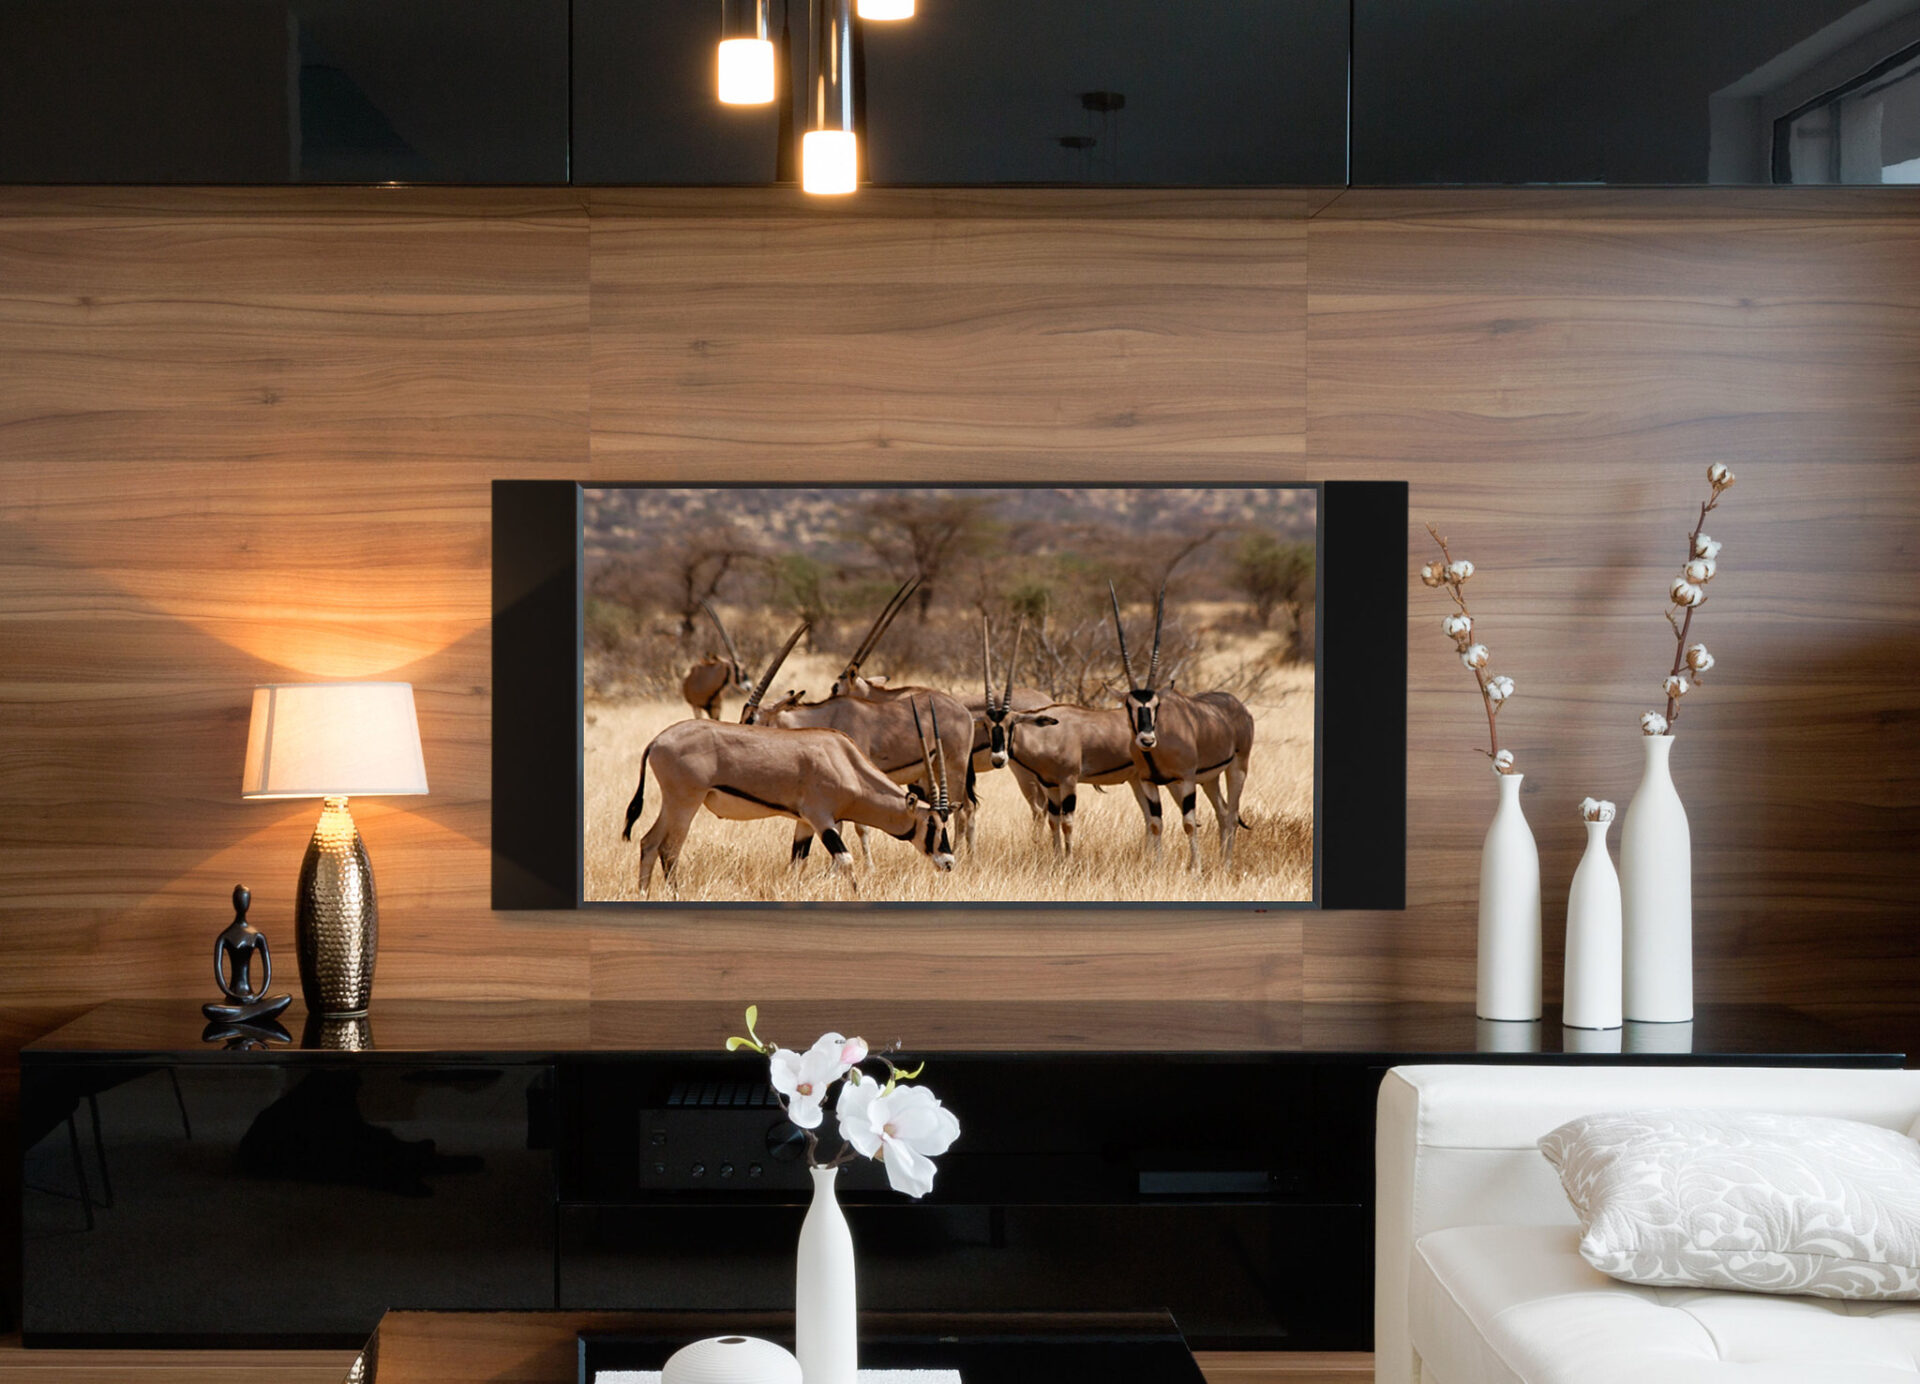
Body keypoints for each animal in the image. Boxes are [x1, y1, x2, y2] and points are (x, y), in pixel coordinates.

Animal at [618, 691, 956, 894]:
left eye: (945, 823)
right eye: (931, 824)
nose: (948, 862)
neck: (845, 760)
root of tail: (658, 740)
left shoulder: (804, 823)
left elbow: (796, 863)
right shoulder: (821, 819)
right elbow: (845, 860)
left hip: (673, 804)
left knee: (649, 842)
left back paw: (643, 894)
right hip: (685, 804)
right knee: (669, 849)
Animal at [1105, 587, 1251, 875]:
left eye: (1156, 705)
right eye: (1129, 705)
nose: (1146, 740)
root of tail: (1238, 706)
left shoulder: (1186, 779)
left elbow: (1188, 823)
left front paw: (1195, 870)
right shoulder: (1149, 782)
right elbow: (1155, 823)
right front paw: (1158, 867)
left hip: (1236, 767)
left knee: (1231, 813)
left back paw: (1226, 865)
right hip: (1207, 779)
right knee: (1222, 811)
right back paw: (1220, 860)